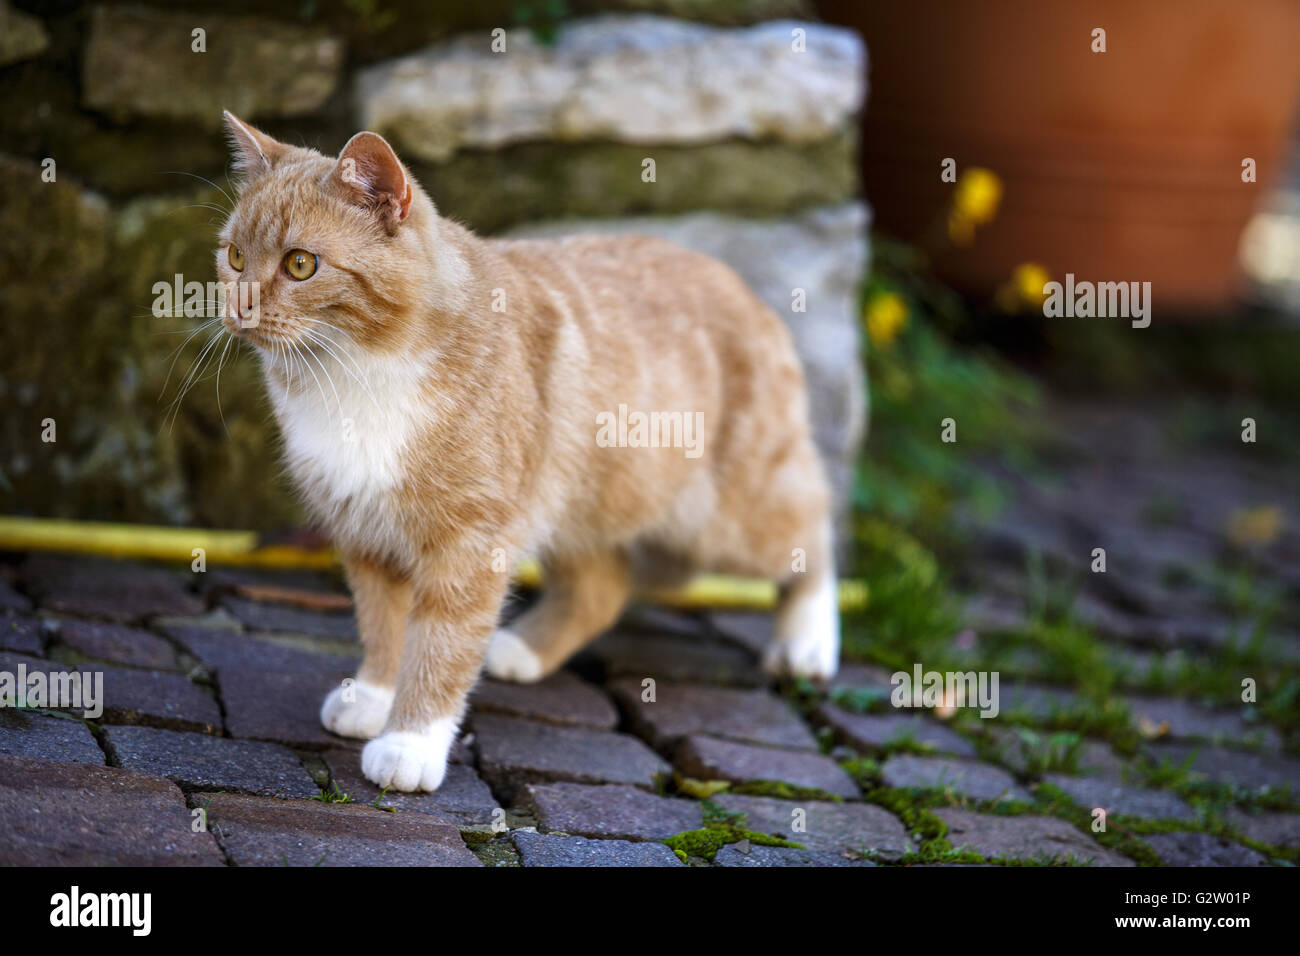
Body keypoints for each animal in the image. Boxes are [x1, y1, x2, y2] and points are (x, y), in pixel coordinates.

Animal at [213, 113, 842, 790]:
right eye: (235, 256)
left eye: (301, 264)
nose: (238, 306)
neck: (354, 375)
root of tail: (747, 290)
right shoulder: (366, 533)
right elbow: (383, 625)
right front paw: (378, 695)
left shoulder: (470, 544)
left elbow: (440, 645)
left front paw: (411, 741)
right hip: (582, 505)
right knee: (604, 586)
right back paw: (521, 649)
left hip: (724, 519)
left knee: (814, 531)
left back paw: (808, 641)